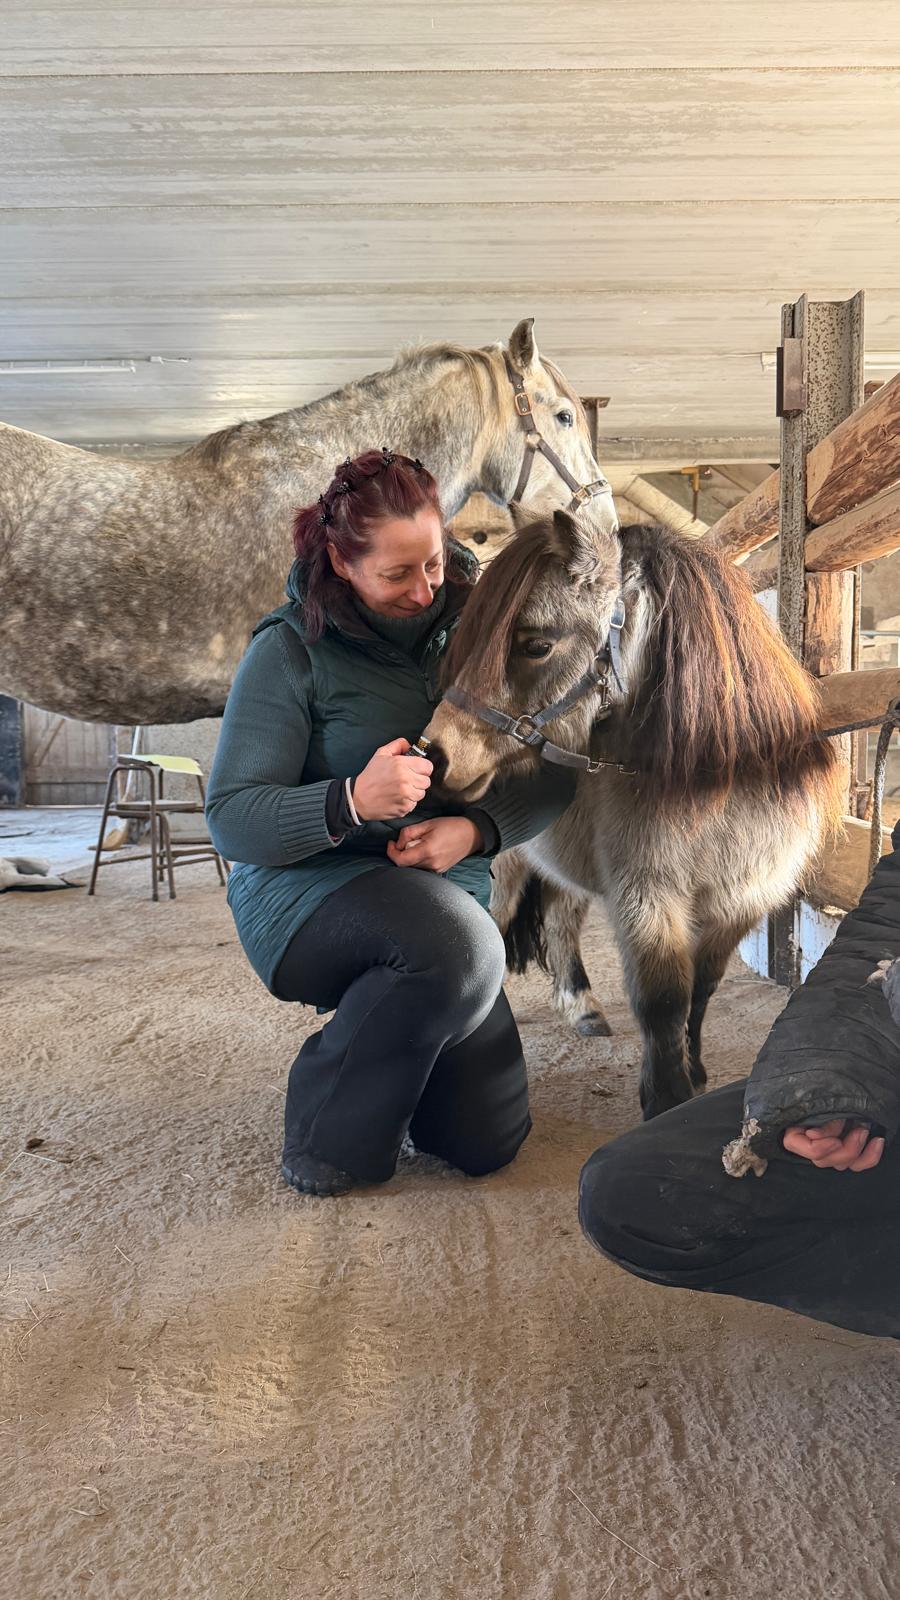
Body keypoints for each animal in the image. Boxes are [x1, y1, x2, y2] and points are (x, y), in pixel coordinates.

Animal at [421, 508, 844, 1121]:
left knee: (560, 920)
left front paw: (693, 1071)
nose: (435, 754)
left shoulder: (740, 903)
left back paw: (583, 1008)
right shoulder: (646, 896)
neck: (717, 784)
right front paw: (666, 1098)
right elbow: (662, 999)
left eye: (536, 645)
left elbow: (702, 988)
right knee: (500, 929)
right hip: (505, 871)